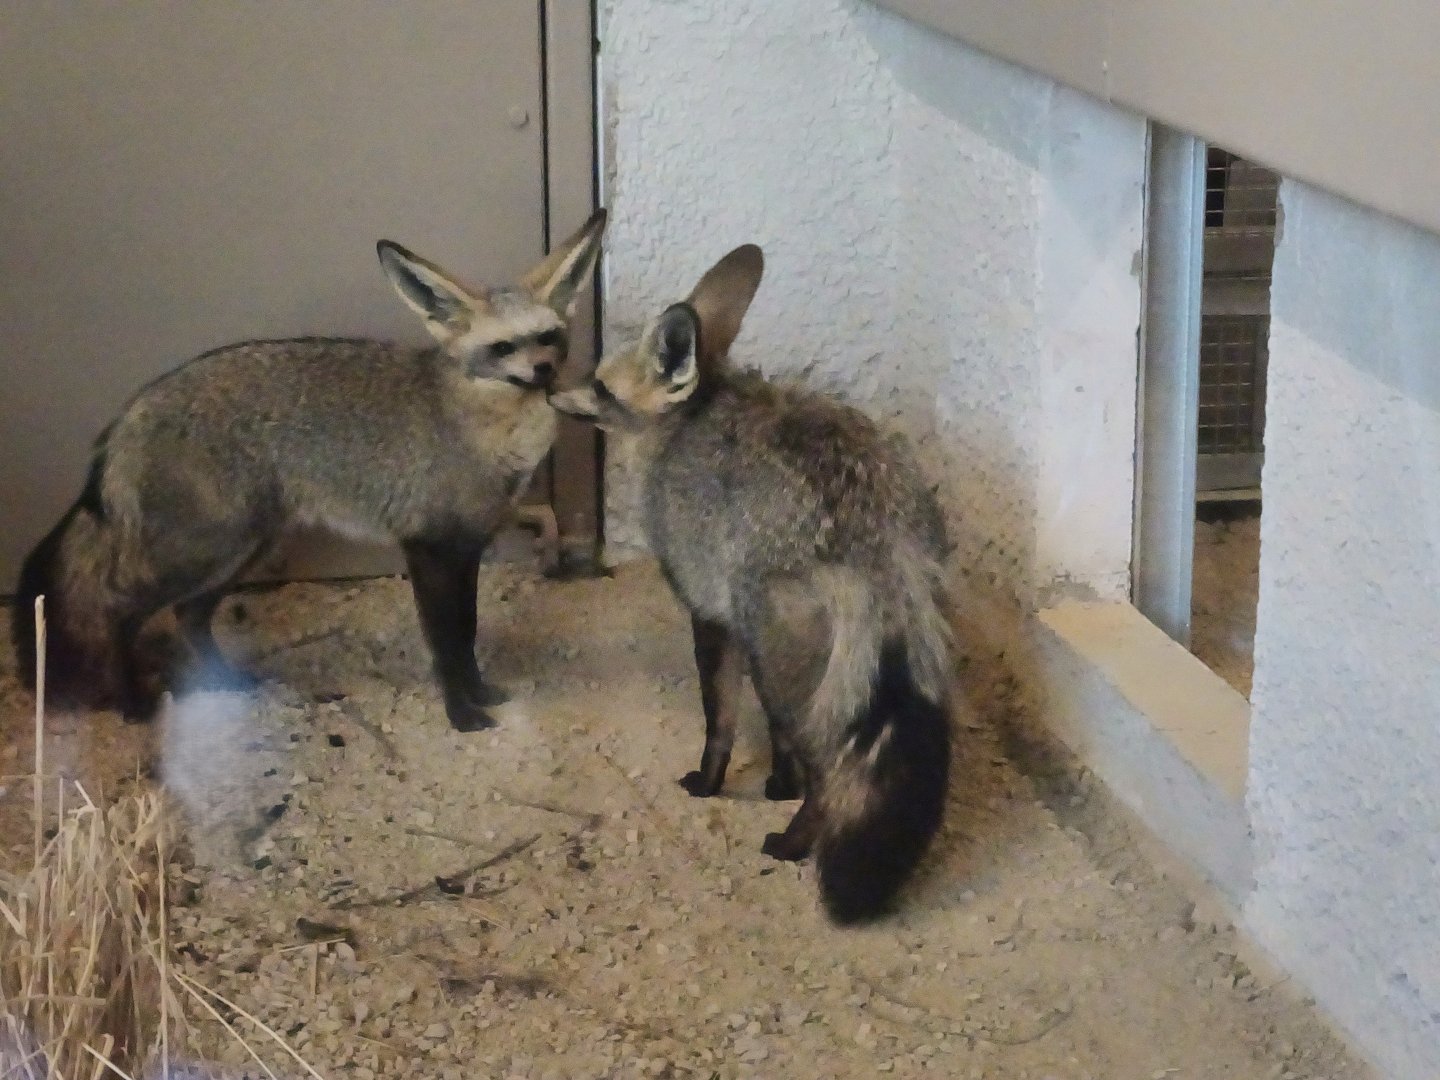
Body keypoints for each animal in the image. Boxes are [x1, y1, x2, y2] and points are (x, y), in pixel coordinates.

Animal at [12, 209, 607, 732]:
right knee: (116, 609)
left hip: (239, 552)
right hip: (206, 551)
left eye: (548, 337)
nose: (544, 371)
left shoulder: (467, 548)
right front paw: (461, 715)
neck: (486, 431)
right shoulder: (427, 546)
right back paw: (131, 702)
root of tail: (126, 415)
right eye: (502, 346)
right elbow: (445, 642)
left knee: (188, 615)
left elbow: (467, 630)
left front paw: (479, 692)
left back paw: (223, 683)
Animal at [551, 244, 953, 923]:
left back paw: (792, 844)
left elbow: (722, 723)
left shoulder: (710, 613)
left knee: (829, 777)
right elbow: (771, 738)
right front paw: (776, 786)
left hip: (784, 665)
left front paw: (712, 786)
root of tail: (874, 539)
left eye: (601, 385)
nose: (550, 387)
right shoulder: (739, 624)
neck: (687, 424)